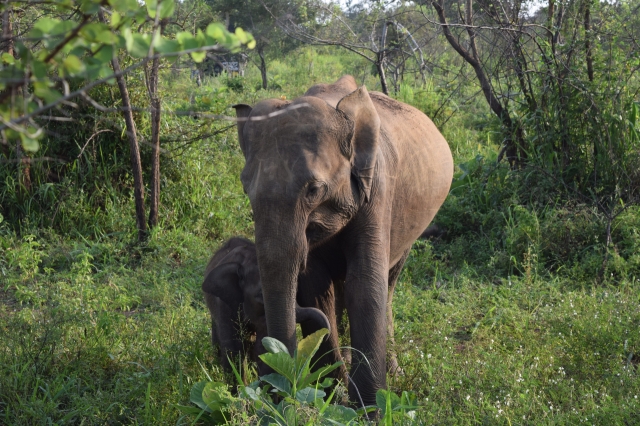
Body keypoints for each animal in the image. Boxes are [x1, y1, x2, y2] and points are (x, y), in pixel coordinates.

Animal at [232, 75, 452, 404]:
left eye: (313, 190)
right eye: (246, 187)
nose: (281, 393)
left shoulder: (378, 190)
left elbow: (365, 286)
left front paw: (369, 407)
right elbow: (317, 290)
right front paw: (333, 397)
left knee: (388, 284)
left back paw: (393, 371)